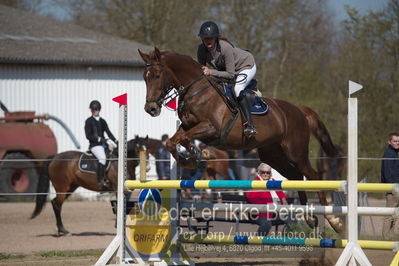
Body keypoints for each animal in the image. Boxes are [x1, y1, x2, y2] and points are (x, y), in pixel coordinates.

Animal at [139, 47, 342, 233]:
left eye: (157, 75)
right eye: (144, 77)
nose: (150, 109)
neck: (197, 91)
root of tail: (299, 109)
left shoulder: (211, 129)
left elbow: (185, 139)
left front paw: (194, 155)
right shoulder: (187, 127)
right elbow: (172, 142)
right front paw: (187, 160)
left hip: (296, 152)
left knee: (313, 176)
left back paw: (333, 220)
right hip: (272, 155)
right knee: (296, 176)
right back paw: (309, 218)